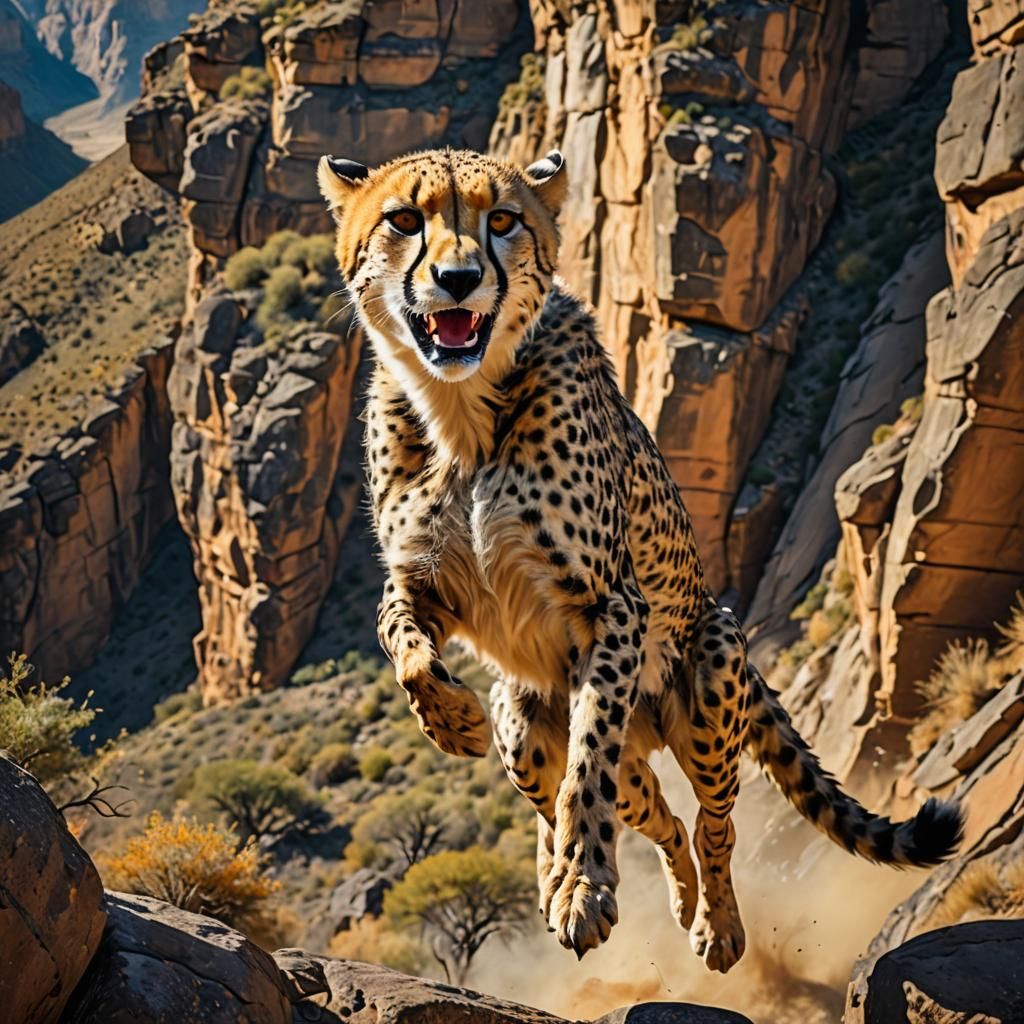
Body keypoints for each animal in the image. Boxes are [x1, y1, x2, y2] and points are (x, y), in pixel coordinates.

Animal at [317, 146, 963, 974]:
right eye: (403, 219)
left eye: (503, 220)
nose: (458, 278)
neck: (460, 410)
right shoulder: (420, 584)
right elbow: (403, 646)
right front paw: (451, 721)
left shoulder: (610, 606)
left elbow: (588, 763)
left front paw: (583, 889)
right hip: (529, 730)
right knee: (659, 818)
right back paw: (634, 886)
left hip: (710, 681)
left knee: (710, 821)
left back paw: (715, 924)